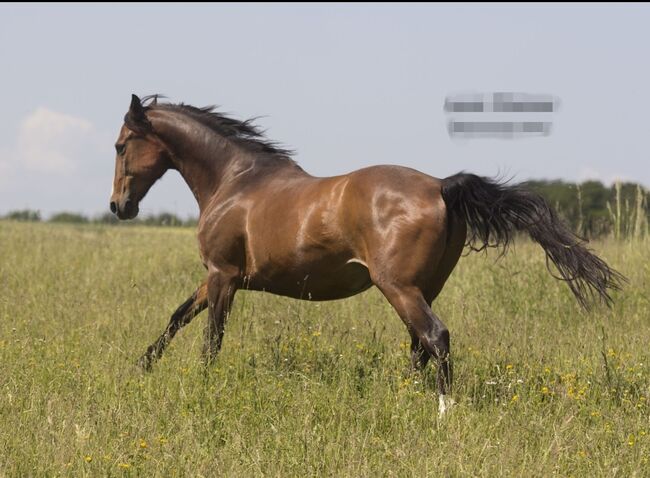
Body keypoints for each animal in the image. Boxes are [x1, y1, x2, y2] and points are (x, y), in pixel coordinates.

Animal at [110, 95, 624, 416]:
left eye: (120, 145)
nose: (119, 206)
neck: (235, 181)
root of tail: (441, 186)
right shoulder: (217, 278)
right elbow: (178, 317)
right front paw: (141, 367)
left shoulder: (223, 275)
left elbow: (211, 337)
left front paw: (202, 385)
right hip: (422, 287)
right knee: (419, 345)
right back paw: (402, 398)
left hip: (397, 286)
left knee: (435, 338)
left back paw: (442, 411)